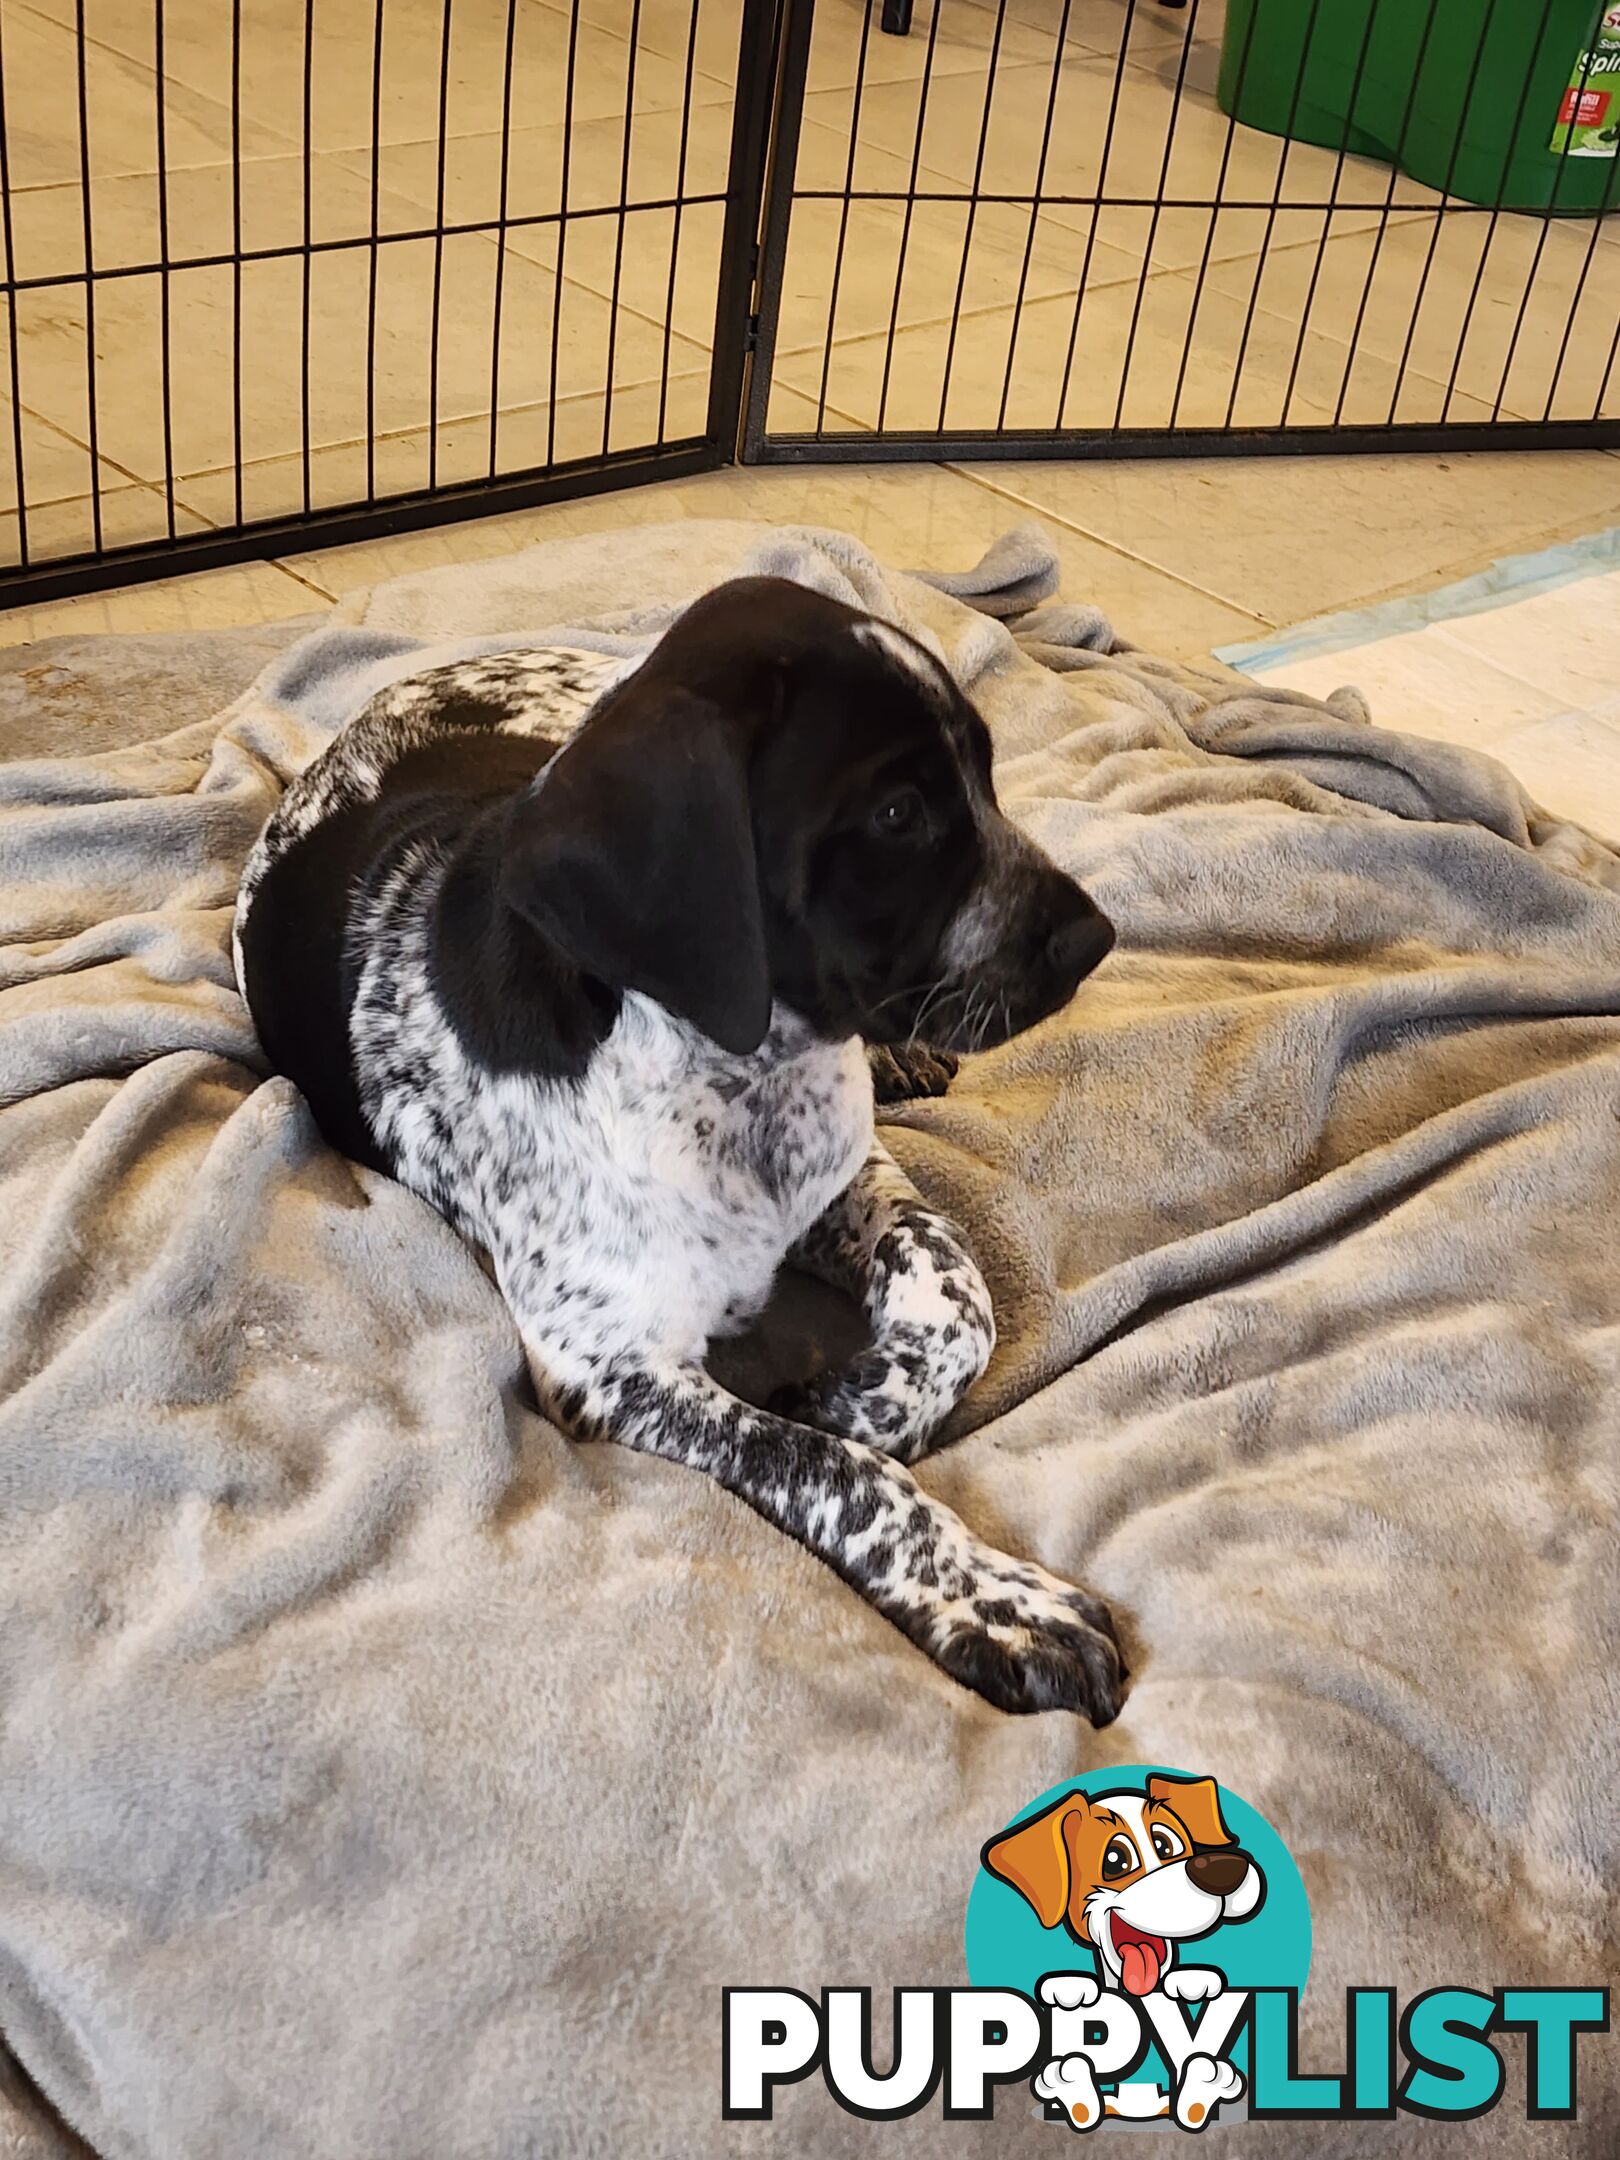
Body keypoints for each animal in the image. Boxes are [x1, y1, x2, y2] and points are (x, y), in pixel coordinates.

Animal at [237, 578, 1131, 1719]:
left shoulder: (846, 1180)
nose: (1096, 939)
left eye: (985, 773)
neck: (735, 1072)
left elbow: (957, 1295)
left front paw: (869, 1398)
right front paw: (989, 1597)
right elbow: (830, 1469)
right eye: (897, 814)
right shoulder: (609, 1366)